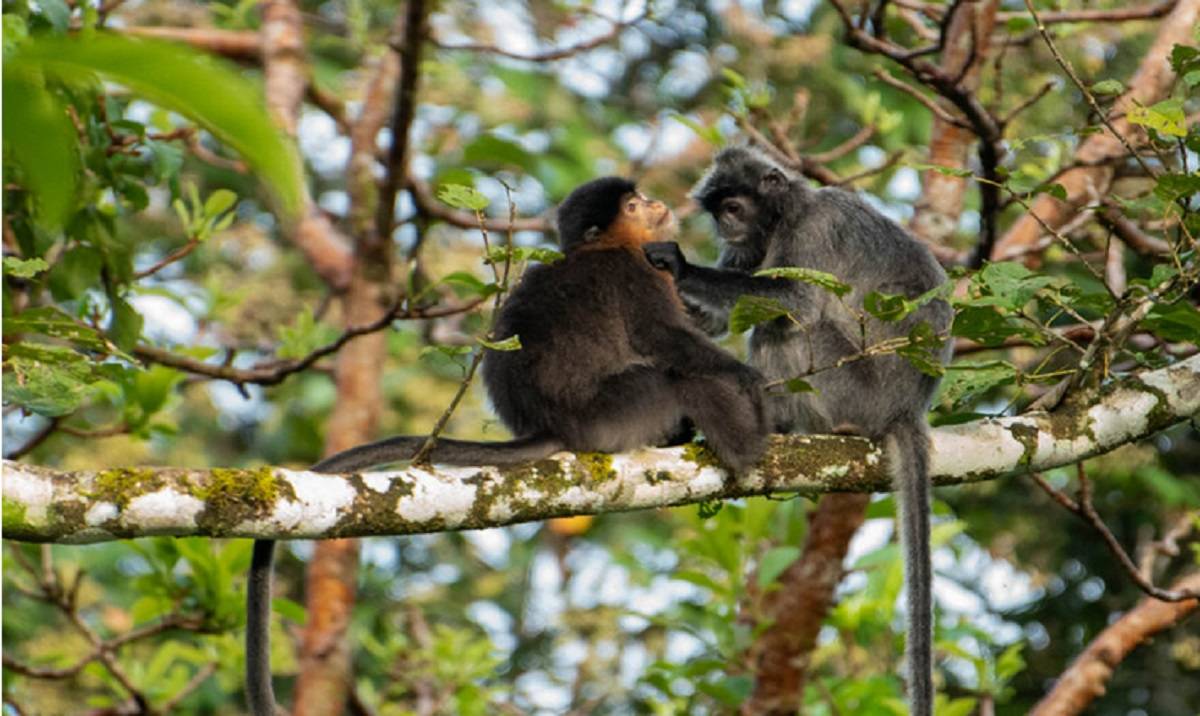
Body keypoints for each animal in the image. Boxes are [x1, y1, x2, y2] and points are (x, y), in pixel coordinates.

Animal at [246, 177, 768, 714]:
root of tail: (549, 424)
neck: (607, 247)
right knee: (679, 378)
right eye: (632, 205)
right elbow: (665, 339)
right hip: (617, 410)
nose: (655, 203)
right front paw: (749, 382)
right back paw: (744, 447)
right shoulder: (634, 273)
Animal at [643, 146, 950, 714]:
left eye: (733, 207)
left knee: (787, 325)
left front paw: (678, 264)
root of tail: (908, 406)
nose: (725, 227)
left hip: (847, 385)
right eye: (717, 212)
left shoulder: (812, 231)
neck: (790, 210)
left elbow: (795, 301)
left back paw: (768, 423)